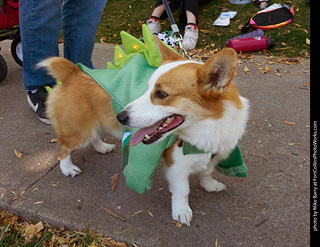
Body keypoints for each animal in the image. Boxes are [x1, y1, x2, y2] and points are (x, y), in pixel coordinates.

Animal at [40, 36, 249, 226]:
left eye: (162, 94)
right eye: (146, 88)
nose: (121, 117)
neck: (209, 125)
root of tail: (72, 72)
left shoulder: (213, 155)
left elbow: (207, 173)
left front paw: (211, 186)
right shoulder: (176, 166)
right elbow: (183, 190)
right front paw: (182, 211)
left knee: (94, 136)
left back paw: (102, 147)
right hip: (77, 132)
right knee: (64, 148)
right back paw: (67, 168)